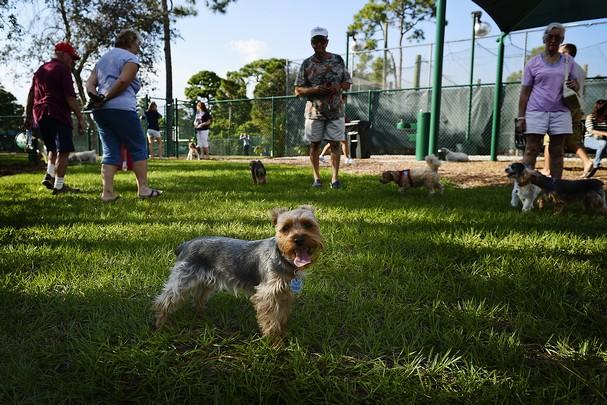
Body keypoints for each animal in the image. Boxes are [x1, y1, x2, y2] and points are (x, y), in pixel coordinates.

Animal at [152, 205, 324, 340]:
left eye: (308, 225)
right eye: (285, 228)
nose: (298, 239)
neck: (284, 258)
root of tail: (185, 245)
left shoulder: (284, 292)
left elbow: (281, 316)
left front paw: (283, 333)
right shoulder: (267, 294)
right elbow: (271, 320)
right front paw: (274, 342)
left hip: (205, 279)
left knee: (199, 296)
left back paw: (203, 313)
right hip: (184, 278)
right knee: (166, 299)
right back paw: (161, 324)